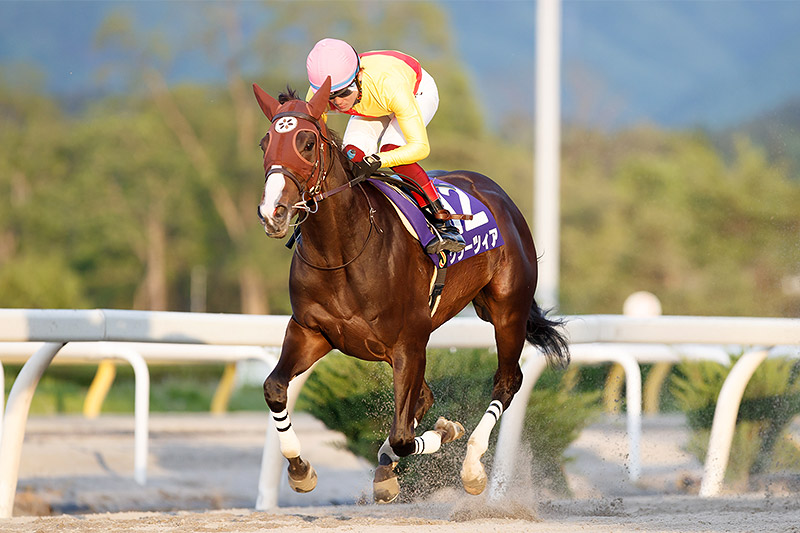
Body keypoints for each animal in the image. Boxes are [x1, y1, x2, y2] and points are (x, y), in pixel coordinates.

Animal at [253, 76, 570, 503]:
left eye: (306, 142)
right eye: (265, 143)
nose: (274, 212)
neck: (344, 251)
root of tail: (495, 191)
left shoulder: (410, 343)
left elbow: (405, 436)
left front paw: (445, 431)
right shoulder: (311, 331)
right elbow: (275, 388)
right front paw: (301, 469)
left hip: (507, 311)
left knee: (507, 382)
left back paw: (472, 467)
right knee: (425, 397)